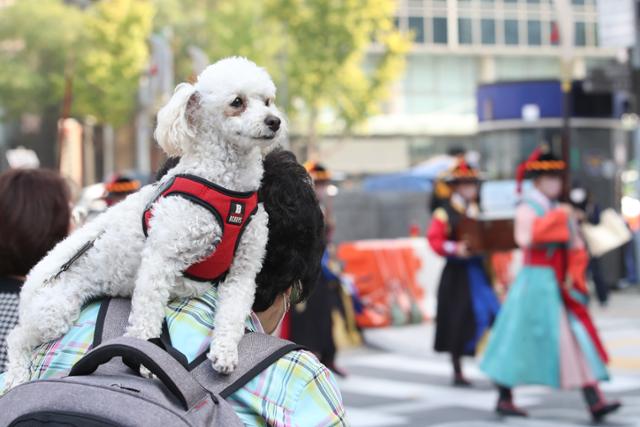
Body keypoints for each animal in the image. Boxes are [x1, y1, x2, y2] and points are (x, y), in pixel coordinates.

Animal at [4, 56, 284, 388]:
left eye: (267, 101)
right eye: (237, 102)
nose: (274, 121)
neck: (226, 188)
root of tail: (30, 280)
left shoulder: (243, 270)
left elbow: (232, 314)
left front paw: (224, 353)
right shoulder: (161, 259)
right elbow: (147, 313)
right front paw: (144, 357)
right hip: (53, 310)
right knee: (16, 337)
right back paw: (16, 375)